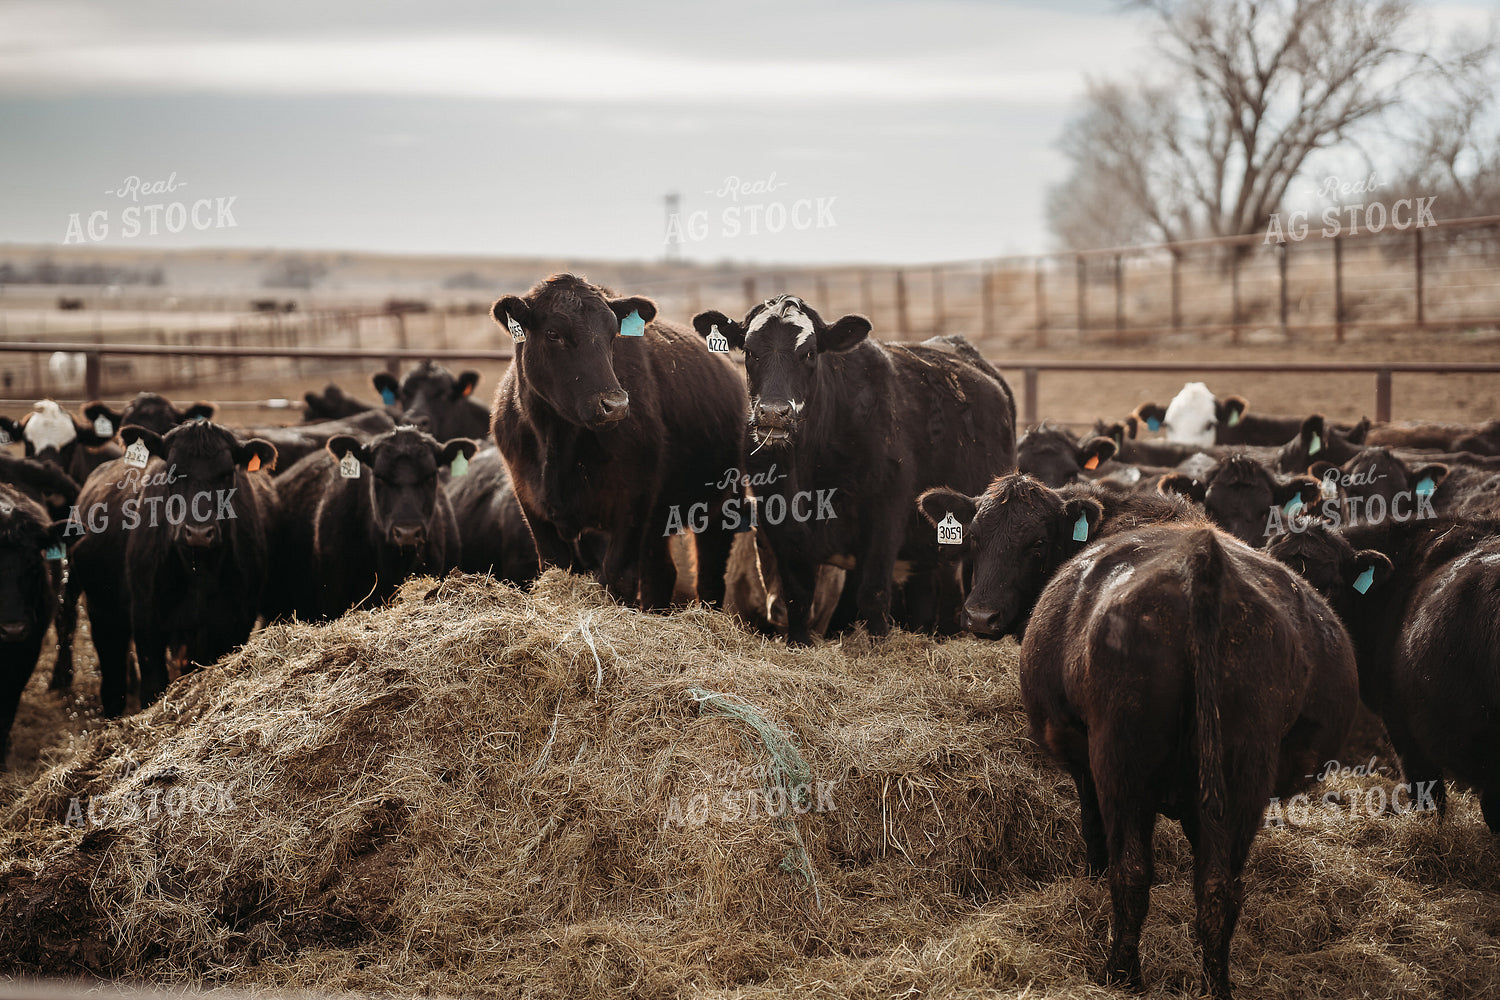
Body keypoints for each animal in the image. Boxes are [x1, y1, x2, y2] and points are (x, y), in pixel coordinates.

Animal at [65, 422, 278, 716]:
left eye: (226, 474)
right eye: (173, 472)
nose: (198, 533)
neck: (199, 572)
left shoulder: (236, 622)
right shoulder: (146, 621)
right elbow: (153, 687)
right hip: (103, 614)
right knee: (113, 684)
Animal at [492, 274, 746, 609]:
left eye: (613, 334)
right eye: (553, 333)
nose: (615, 405)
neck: (557, 441)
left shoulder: (632, 505)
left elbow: (618, 575)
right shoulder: (531, 502)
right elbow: (554, 565)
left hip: (721, 505)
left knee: (709, 577)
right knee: (661, 573)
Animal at [691, 297, 1016, 643]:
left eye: (809, 353)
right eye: (750, 352)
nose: (774, 413)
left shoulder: (885, 519)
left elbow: (872, 594)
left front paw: (878, 644)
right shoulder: (781, 526)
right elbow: (798, 597)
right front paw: (798, 643)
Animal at [918, 475, 1357, 999]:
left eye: (1037, 543)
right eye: (976, 538)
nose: (981, 616)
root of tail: (1204, 564)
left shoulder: (1085, 762)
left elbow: (1095, 834)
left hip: (1121, 762)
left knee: (1131, 874)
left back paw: (1121, 974)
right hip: (1244, 775)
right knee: (1219, 892)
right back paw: (1215, 985)